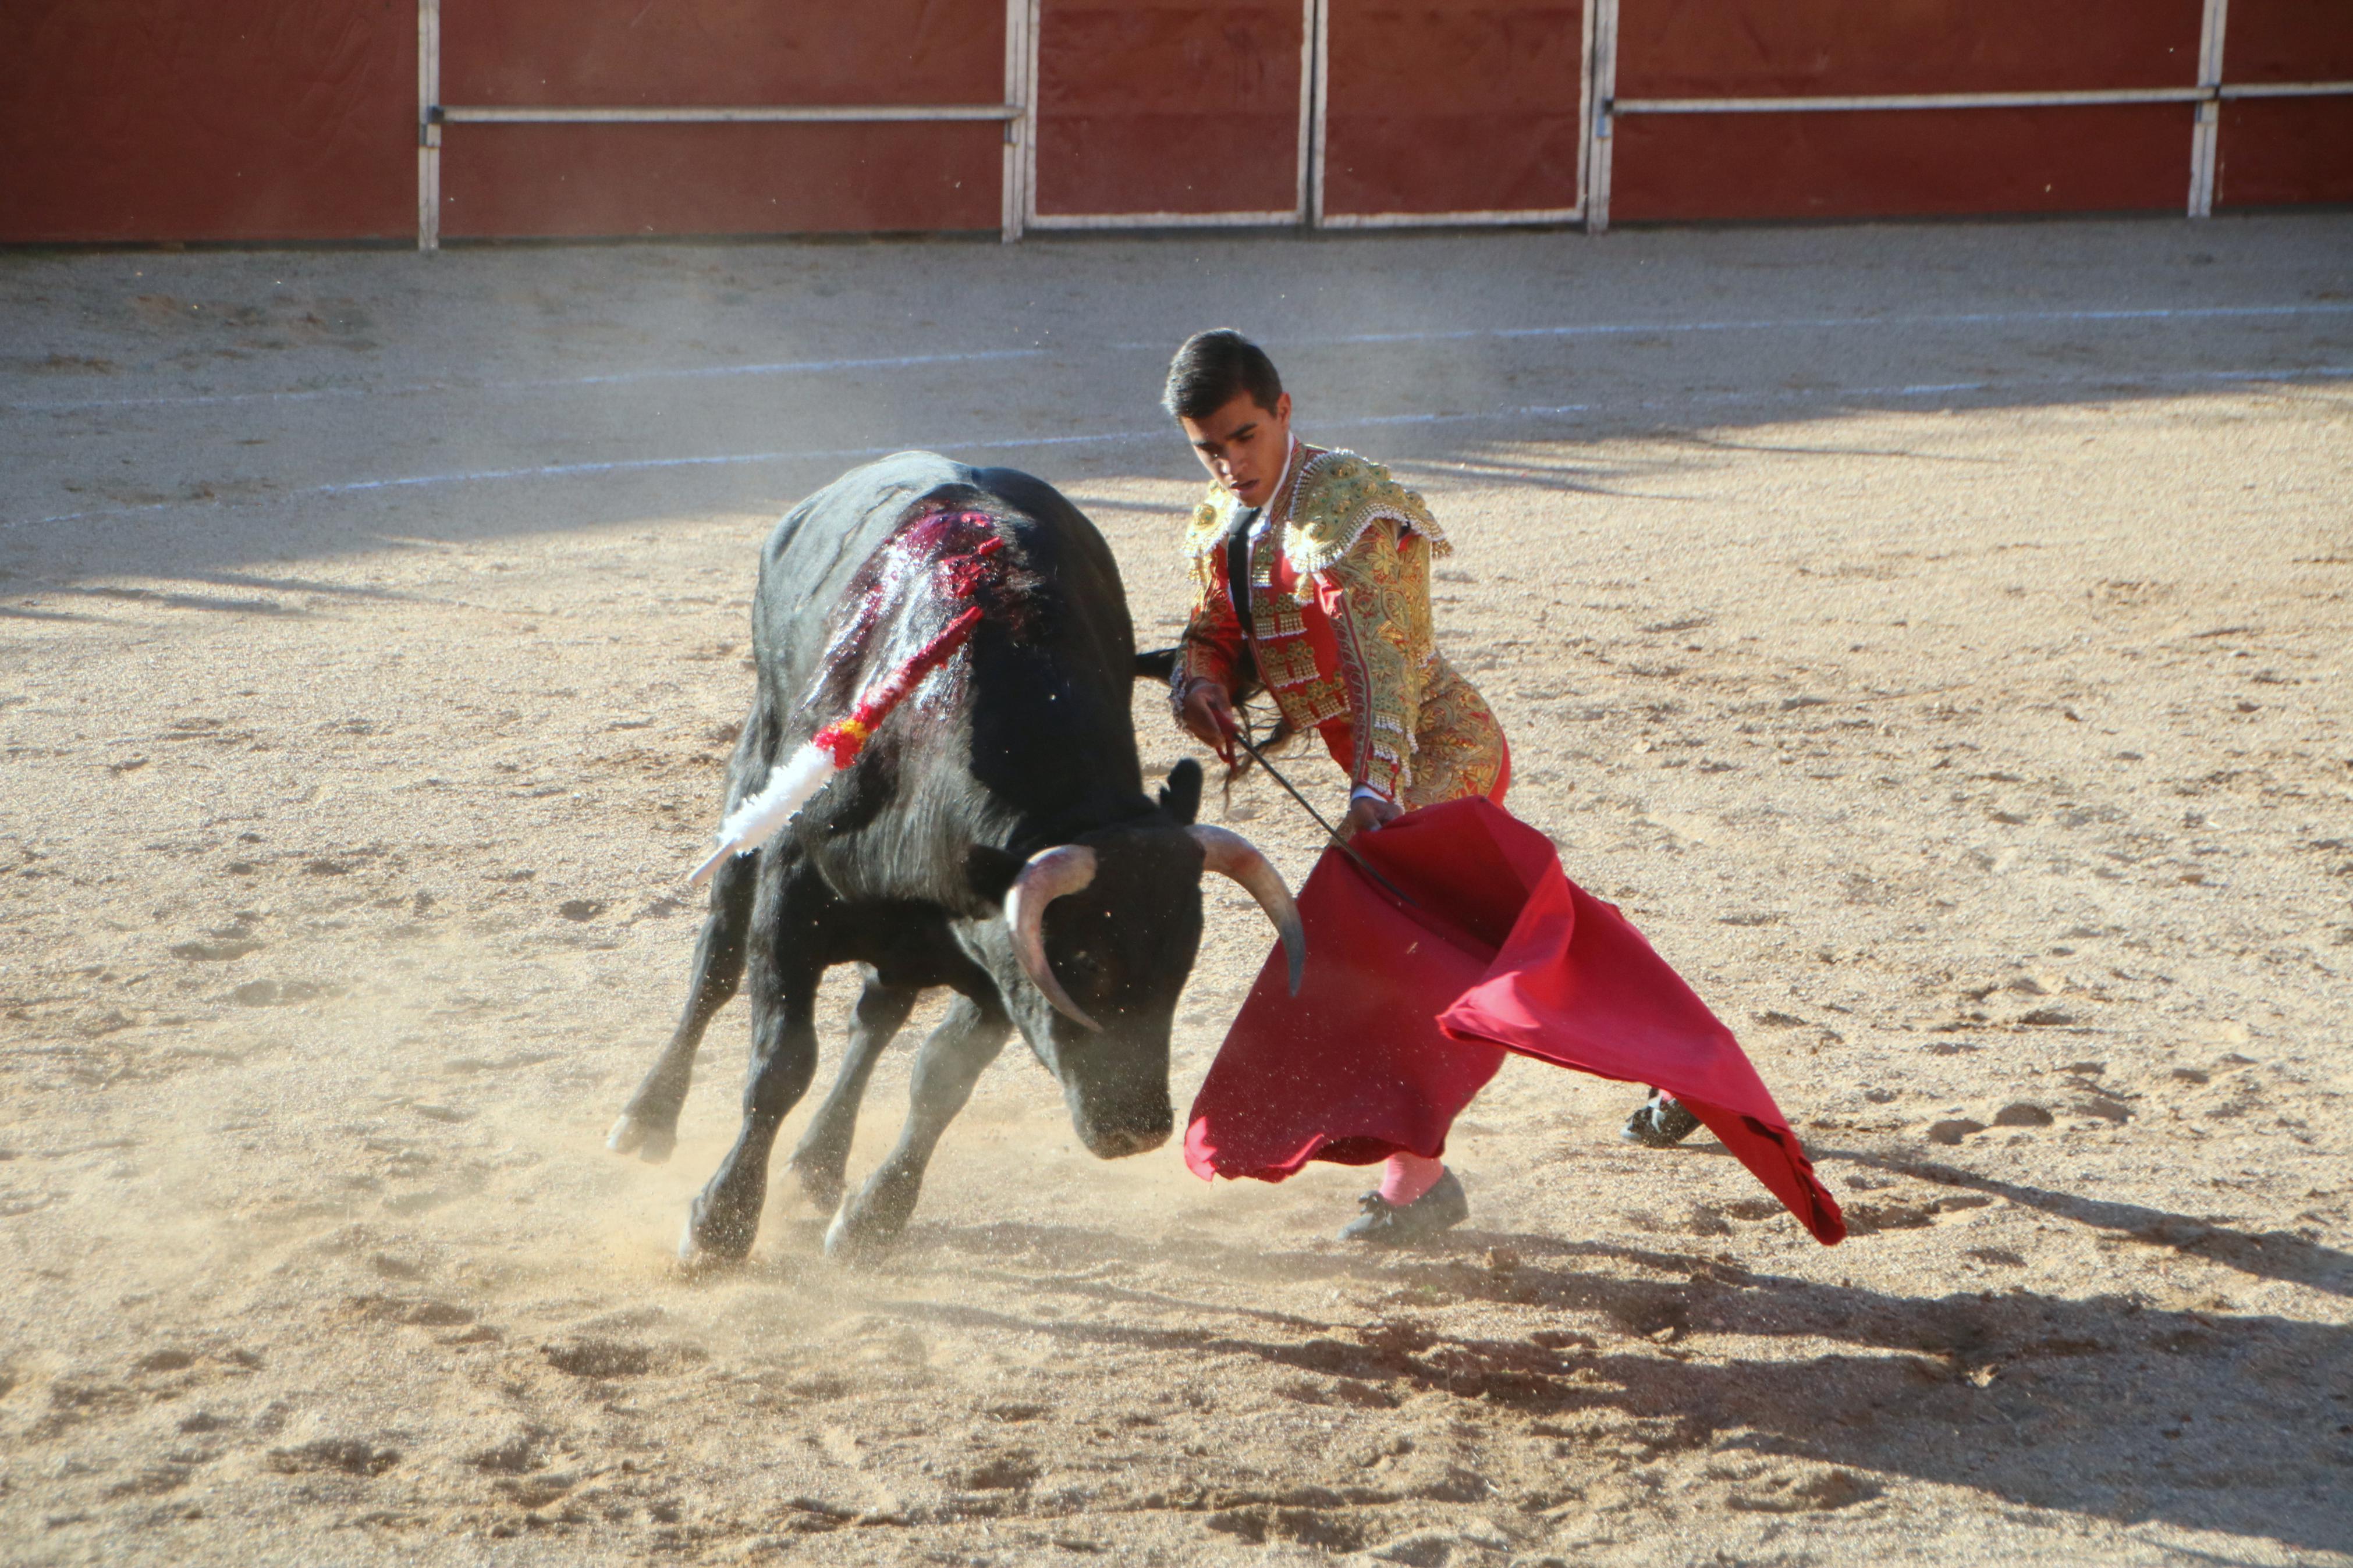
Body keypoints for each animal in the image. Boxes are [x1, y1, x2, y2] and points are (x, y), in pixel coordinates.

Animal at [607, 453, 1308, 1260]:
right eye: (1084, 962)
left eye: (1182, 964)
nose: (1138, 1129)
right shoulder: (792, 908)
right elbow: (780, 1062)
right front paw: (719, 1223)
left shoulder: (995, 958)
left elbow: (939, 1078)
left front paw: (872, 1217)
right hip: (756, 767)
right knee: (717, 960)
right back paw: (646, 1118)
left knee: (876, 1014)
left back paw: (819, 1164)